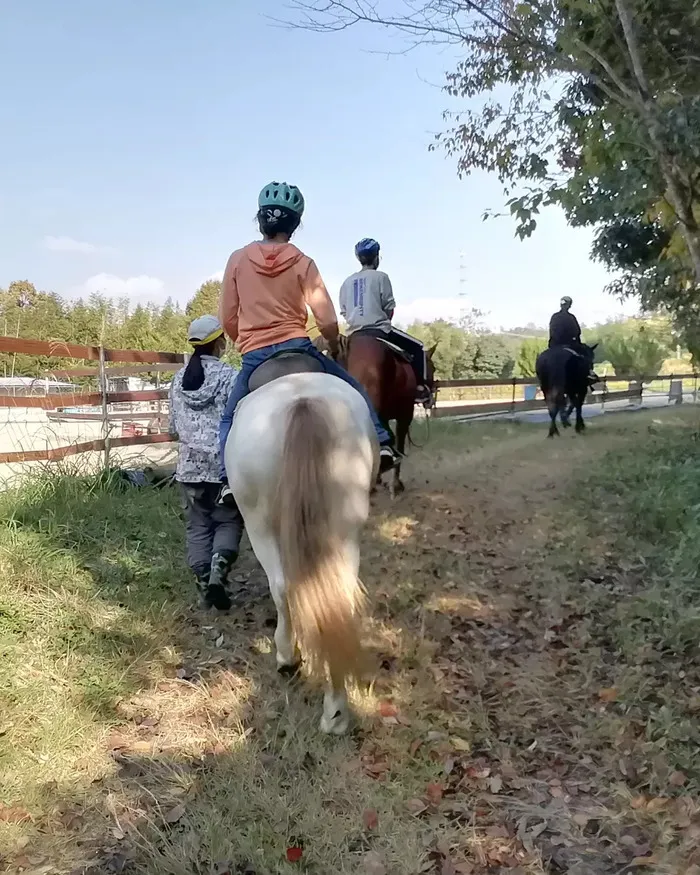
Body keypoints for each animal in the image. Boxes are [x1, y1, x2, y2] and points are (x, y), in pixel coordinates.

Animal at [224, 372, 378, 736]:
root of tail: (302, 400)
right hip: (346, 527)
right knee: (339, 598)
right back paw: (336, 709)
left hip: (259, 524)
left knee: (282, 588)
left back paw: (287, 658)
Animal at [340, 334, 434, 500]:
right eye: (433, 368)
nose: (431, 395)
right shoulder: (404, 416)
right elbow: (399, 442)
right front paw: (395, 484)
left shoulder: (383, 417)